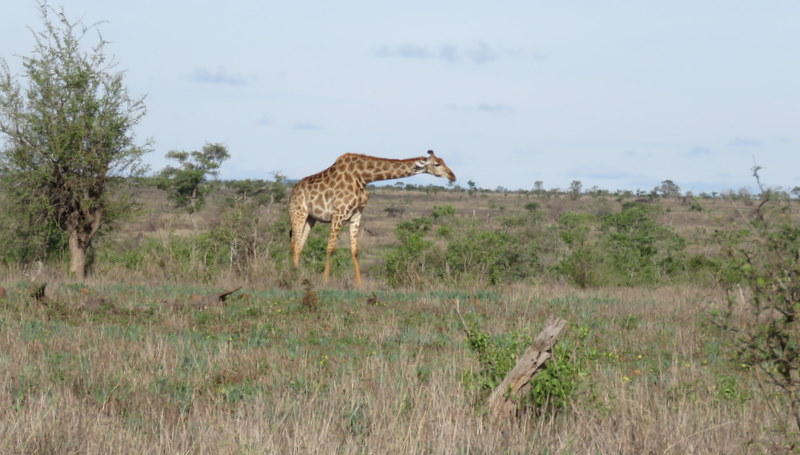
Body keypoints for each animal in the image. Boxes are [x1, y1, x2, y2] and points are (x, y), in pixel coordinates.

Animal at [289, 150, 456, 286]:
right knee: (295, 243)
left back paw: (297, 274)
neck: (363, 177)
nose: (453, 176)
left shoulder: (356, 215)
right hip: (299, 213)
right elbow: (330, 248)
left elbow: (355, 250)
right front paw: (324, 282)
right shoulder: (338, 213)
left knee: (299, 243)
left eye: (443, 161)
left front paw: (359, 285)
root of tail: (292, 193)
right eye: (436, 164)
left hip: (311, 218)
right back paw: (294, 276)